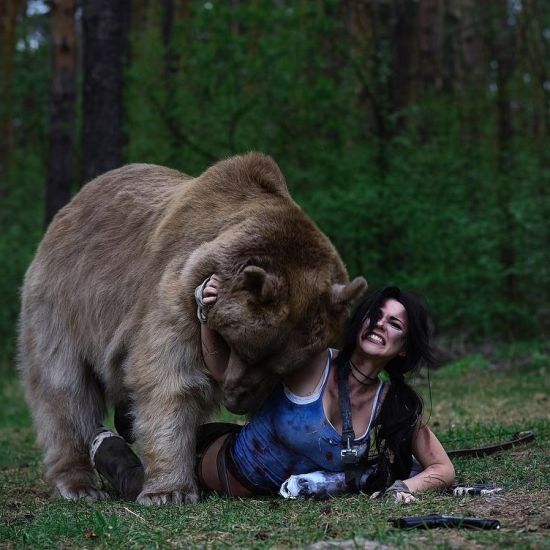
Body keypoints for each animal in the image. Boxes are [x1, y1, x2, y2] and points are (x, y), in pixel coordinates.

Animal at [18, 153, 366, 506]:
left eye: (285, 369)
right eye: (243, 349)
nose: (239, 402)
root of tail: (72, 204)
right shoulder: (175, 291)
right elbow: (169, 380)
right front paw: (169, 491)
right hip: (63, 302)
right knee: (64, 388)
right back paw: (78, 483)